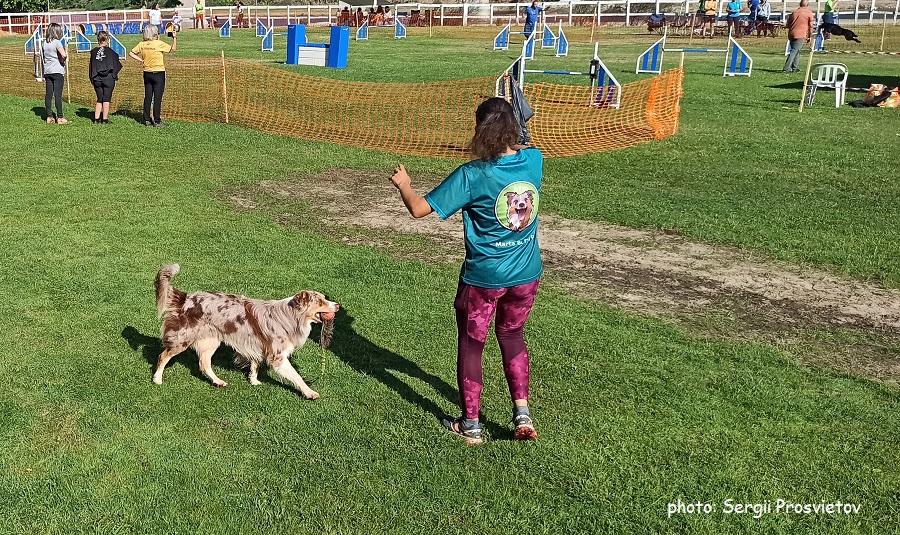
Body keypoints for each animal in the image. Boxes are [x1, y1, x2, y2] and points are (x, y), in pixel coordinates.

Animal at [153, 266, 340, 400]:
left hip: (211, 339)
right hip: (183, 338)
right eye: (321, 301)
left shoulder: (258, 344)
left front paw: (254, 381)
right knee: (163, 356)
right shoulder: (278, 357)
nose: (338, 305)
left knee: (203, 363)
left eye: (325, 298)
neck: (290, 316)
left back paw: (218, 382)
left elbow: (255, 364)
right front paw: (309, 392)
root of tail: (185, 298)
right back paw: (157, 379)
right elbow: (297, 376)